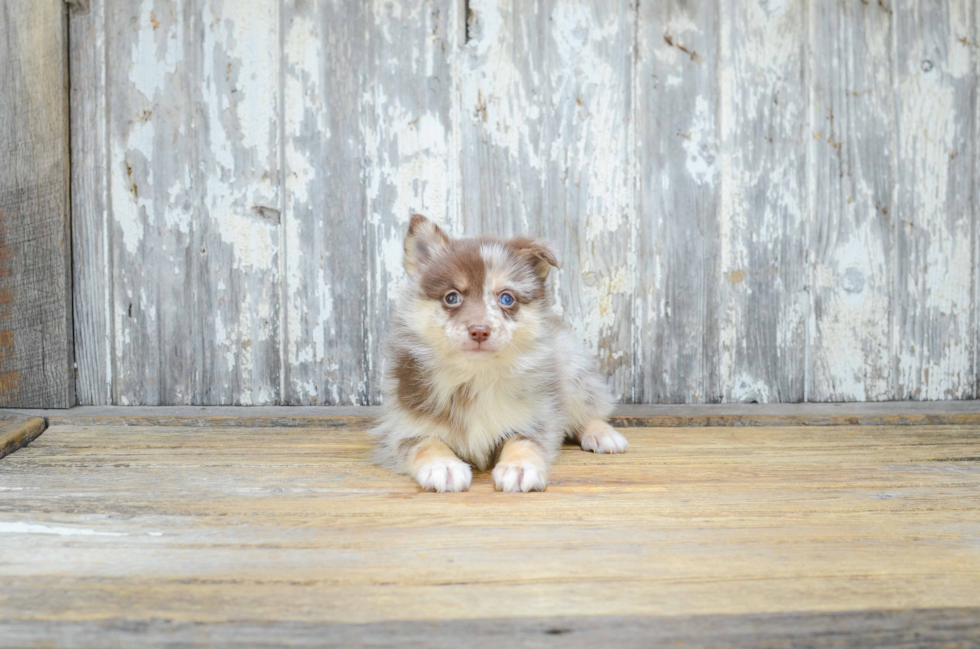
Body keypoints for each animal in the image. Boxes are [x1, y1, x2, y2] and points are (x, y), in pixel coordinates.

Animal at [368, 213, 628, 492]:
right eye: (452, 297)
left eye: (506, 299)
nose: (479, 331)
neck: (475, 375)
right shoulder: (400, 426)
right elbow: (425, 443)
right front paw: (443, 466)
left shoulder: (538, 417)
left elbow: (524, 441)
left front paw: (519, 467)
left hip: (574, 370)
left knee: (590, 411)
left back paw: (602, 434)